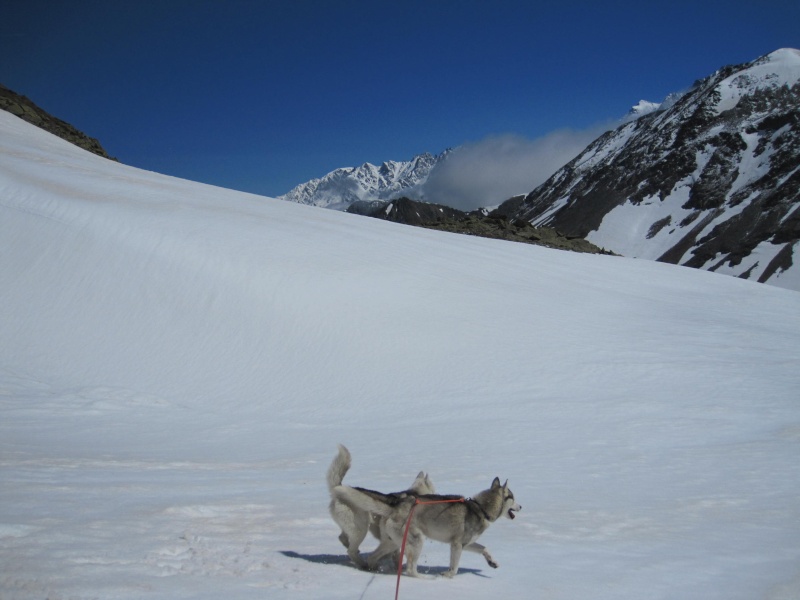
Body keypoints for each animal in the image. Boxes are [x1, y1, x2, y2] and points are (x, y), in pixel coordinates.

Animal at [332, 476, 520, 580]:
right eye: (513, 497)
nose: (521, 507)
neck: (480, 508)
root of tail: (397, 504)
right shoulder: (457, 545)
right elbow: (454, 567)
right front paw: (447, 576)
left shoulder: (466, 544)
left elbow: (484, 548)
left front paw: (492, 562)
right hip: (416, 541)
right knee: (410, 569)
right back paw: (425, 579)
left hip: (393, 543)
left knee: (372, 557)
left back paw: (373, 570)